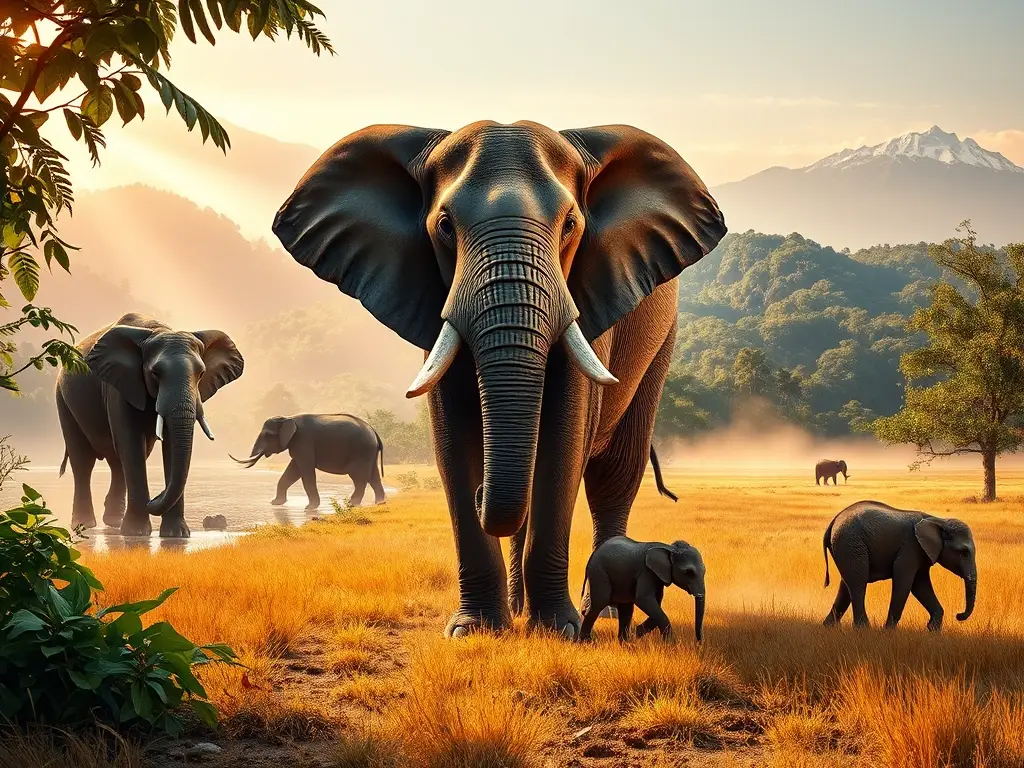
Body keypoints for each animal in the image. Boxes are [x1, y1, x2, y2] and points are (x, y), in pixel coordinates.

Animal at [56, 313, 244, 537]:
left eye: (201, 374)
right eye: (156, 373)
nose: (154, 498)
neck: (158, 330)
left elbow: (169, 445)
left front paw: (176, 535)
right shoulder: (119, 386)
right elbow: (131, 442)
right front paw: (136, 533)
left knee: (118, 462)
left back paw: (113, 522)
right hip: (63, 400)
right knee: (83, 460)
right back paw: (85, 525)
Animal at [230, 414, 386, 510]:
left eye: (268, 435)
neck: (288, 417)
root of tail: (374, 431)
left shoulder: (304, 442)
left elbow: (306, 472)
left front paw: (309, 508)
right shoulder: (297, 444)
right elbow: (292, 471)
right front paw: (275, 503)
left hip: (361, 451)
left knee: (359, 478)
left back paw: (351, 504)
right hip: (369, 453)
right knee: (374, 476)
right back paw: (380, 503)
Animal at [272, 120, 726, 638]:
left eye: (570, 225)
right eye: (445, 227)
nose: (483, 493)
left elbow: (562, 446)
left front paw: (559, 631)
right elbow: (454, 443)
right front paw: (474, 630)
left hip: (660, 341)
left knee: (613, 474)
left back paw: (605, 610)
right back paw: (518, 607)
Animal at [822, 500, 977, 631]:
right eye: (964, 553)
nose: (958, 615)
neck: (939, 521)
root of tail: (833, 522)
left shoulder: (921, 552)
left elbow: (920, 585)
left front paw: (933, 630)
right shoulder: (912, 547)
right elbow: (904, 580)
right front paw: (888, 631)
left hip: (848, 547)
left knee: (847, 584)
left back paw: (828, 627)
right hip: (850, 543)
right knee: (858, 583)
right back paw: (863, 629)